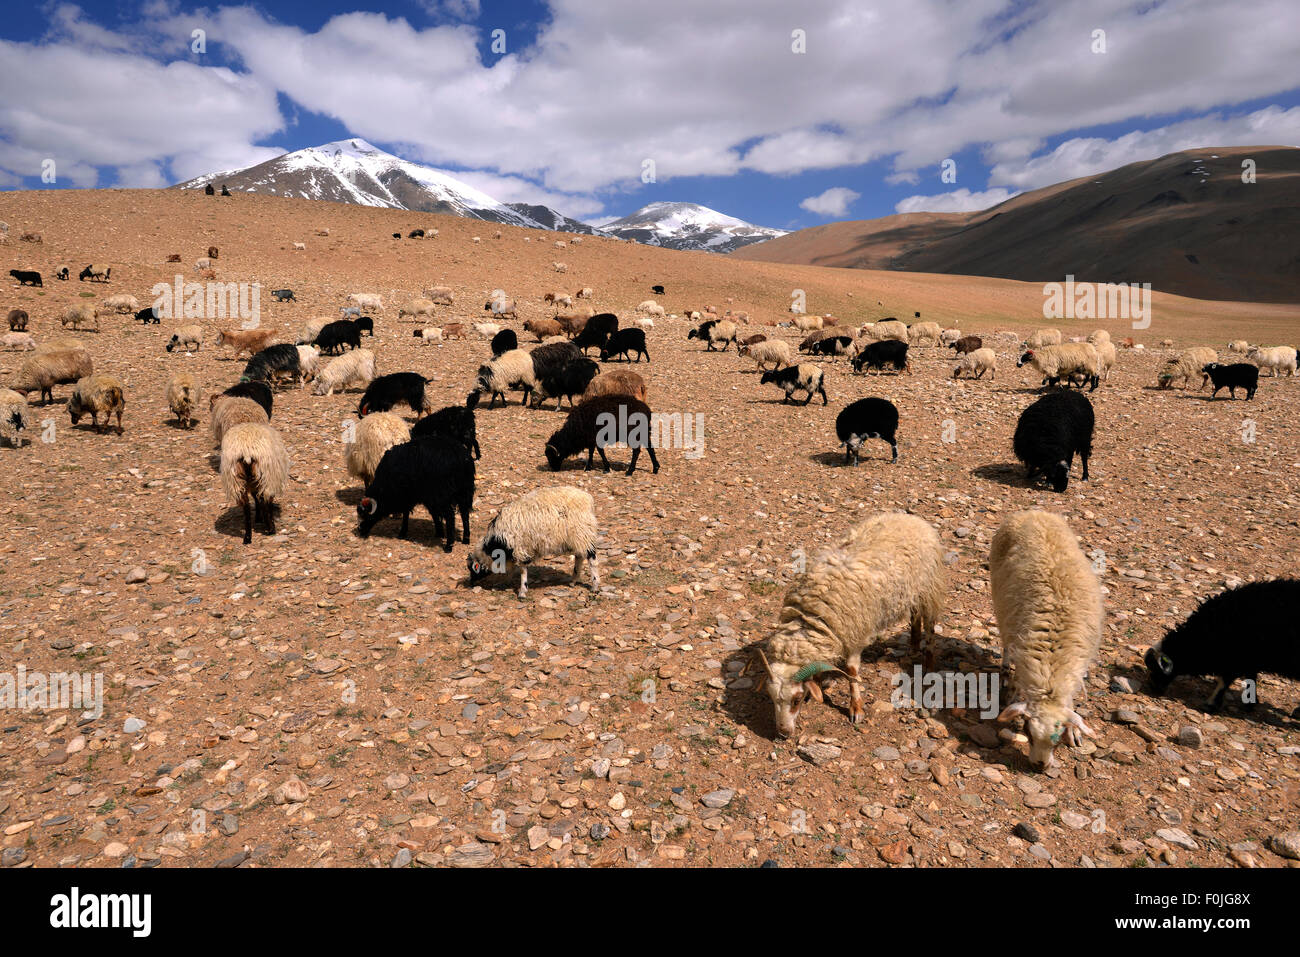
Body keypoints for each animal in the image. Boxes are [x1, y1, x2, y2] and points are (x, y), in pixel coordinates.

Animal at [467, 486, 598, 598]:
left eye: (474, 568)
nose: (471, 583)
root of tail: (587, 498)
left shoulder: (520, 549)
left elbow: (522, 570)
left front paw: (522, 591)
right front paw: (506, 582)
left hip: (583, 531)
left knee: (591, 558)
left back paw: (595, 585)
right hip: (578, 537)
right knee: (579, 556)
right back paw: (573, 581)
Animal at [754, 512, 946, 738]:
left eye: (796, 700)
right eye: (771, 697)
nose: (783, 733)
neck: (812, 615)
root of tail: (911, 518)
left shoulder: (855, 635)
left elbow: (852, 672)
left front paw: (856, 709)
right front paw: (818, 681)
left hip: (928, 587)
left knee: (930, 625)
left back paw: (929, 664)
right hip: (911, 592)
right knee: (915, 616)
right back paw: (914, 647)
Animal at [987, 509, 1102, 769]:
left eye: (1057, 739)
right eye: (1028, 733)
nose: (1040, 766)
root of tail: (1032, 511)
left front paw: (1074, 733)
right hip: (1000, 604)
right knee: (1005, 644)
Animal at [1149, 579, 1300, 712]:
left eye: (1156, 669)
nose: (1153, 687)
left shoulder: (1234, 657)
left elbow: (1224, 681)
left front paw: (1211, 704)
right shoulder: (1248, 660)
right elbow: (1250, 678)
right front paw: (1250, 703)